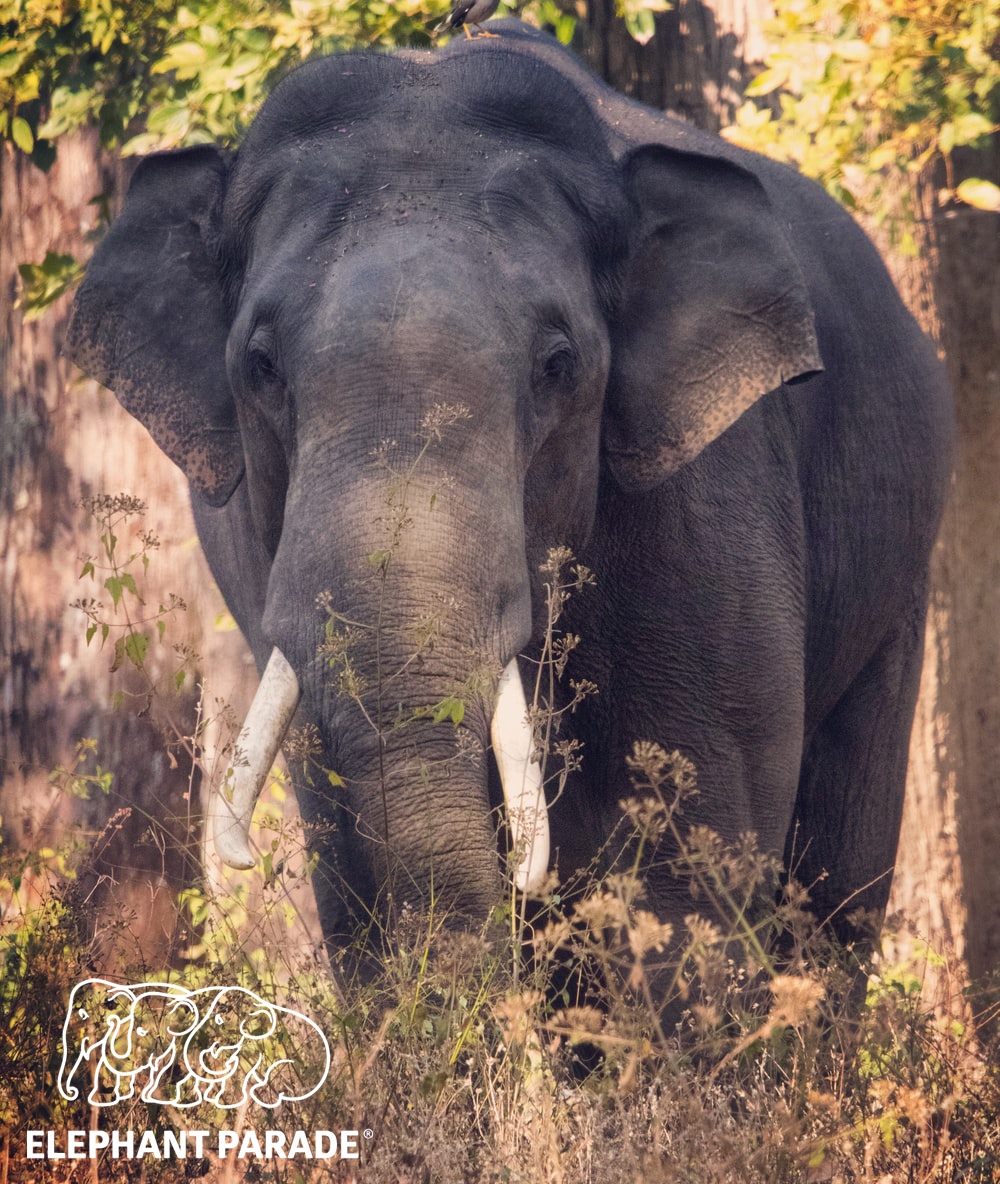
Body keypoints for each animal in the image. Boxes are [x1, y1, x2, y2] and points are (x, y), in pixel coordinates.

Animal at [65, 23, 952, 982]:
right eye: (259, 365)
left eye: (557, 364)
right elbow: (347, 864)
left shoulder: (713, 509)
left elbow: (685, 865)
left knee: (839, 868)